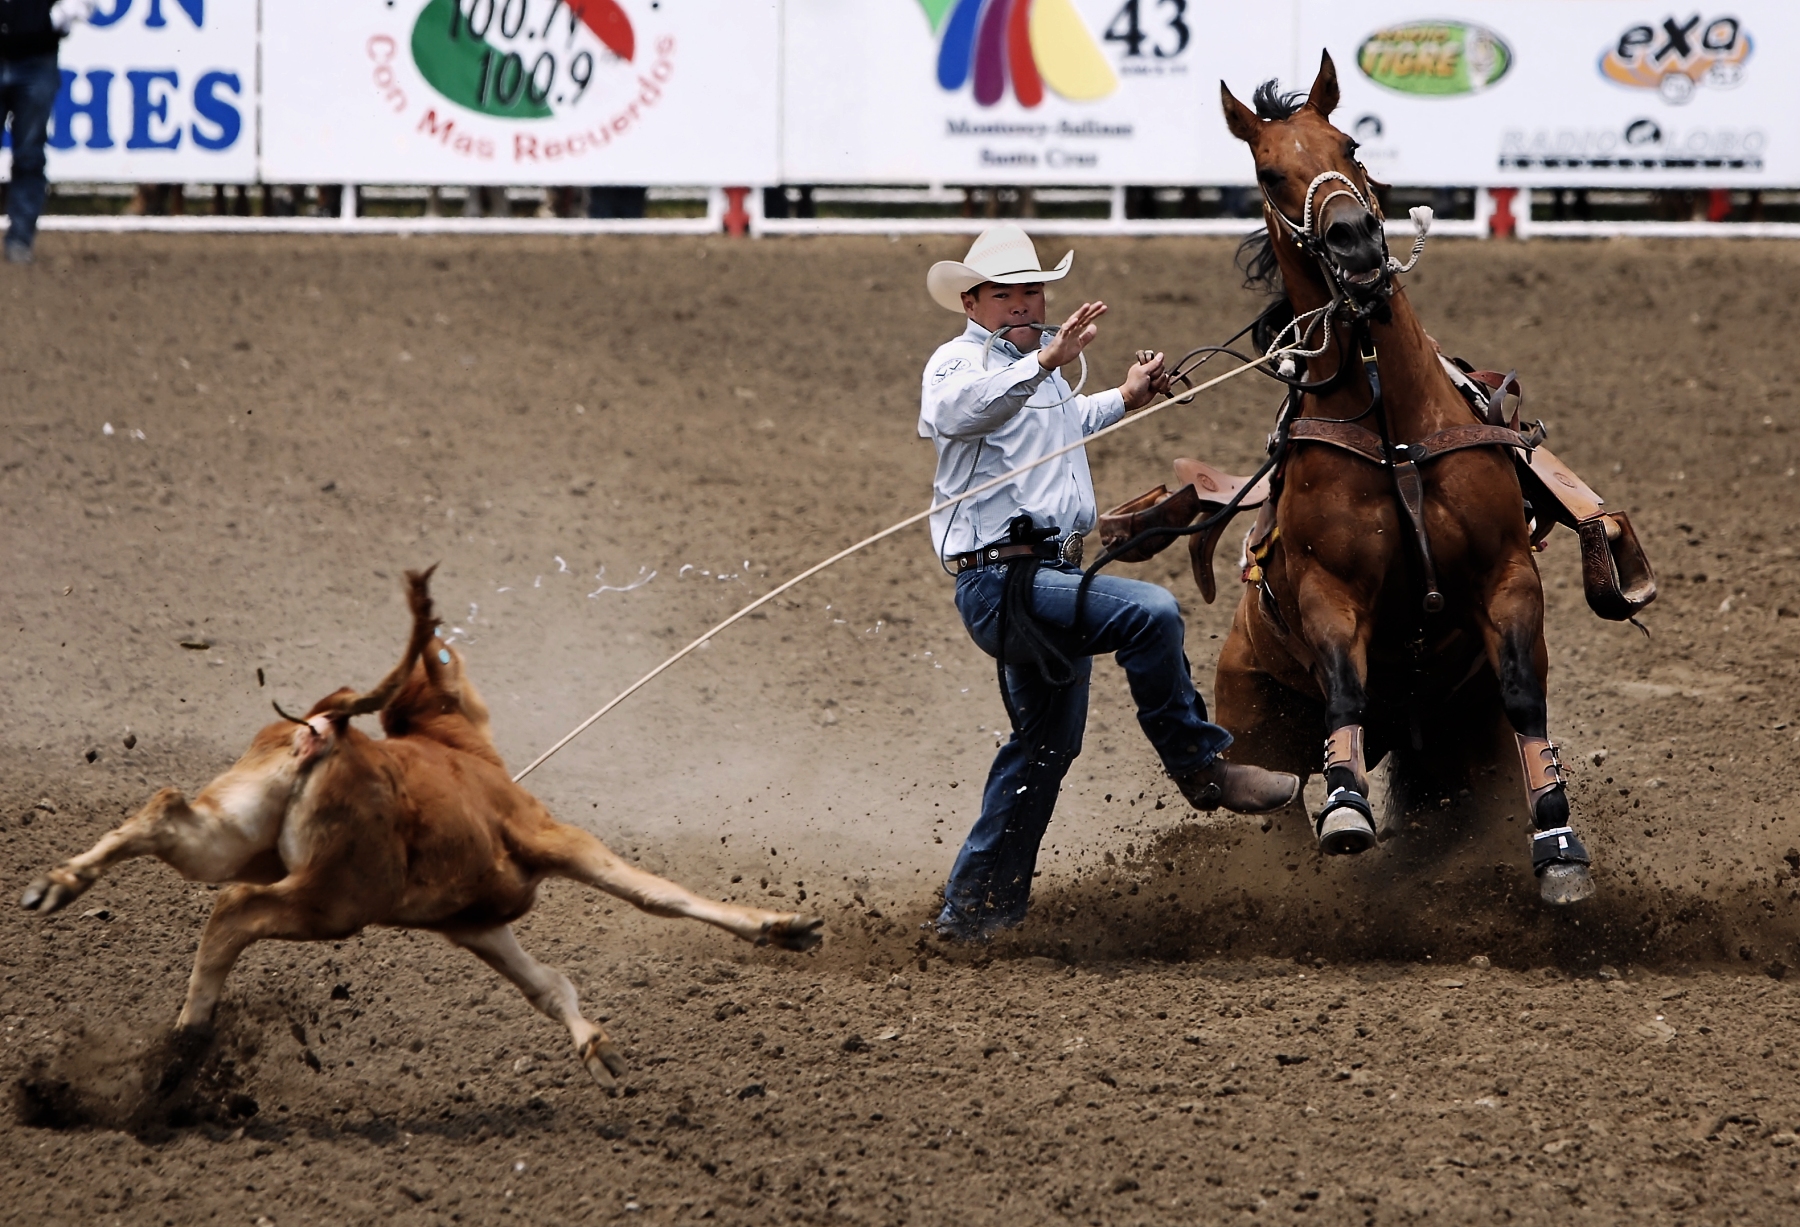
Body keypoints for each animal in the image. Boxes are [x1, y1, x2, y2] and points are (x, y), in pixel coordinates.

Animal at [19, 568, 824, 1086]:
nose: (454, 645)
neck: (461, 756)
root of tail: (331, 727)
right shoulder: (551, 839)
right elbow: (655, 893)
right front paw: (782, 926)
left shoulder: (471, 922)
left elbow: (546, 984)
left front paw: (595, 1047)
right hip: (334, 897)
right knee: (233, 911)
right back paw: (186, 1039)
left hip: (232, 834)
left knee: (164, 813)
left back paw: (57, 889)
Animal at [1216, 52, 1598, 903]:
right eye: (1268, 171)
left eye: (1351, 145)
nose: (1355, 240)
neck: (1395, 428)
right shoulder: (1329, 588)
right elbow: (1344, 685)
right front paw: (1346, 804)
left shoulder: (1506, 572)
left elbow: (1525, 694)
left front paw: (1558, 840)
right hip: (1251, 738)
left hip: (1461, 747)